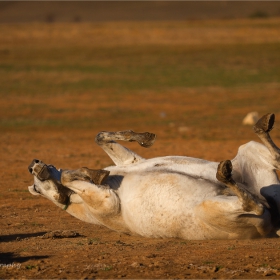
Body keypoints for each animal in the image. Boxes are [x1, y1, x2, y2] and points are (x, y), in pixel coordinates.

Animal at [27, 112, 280, 240]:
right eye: (37, 188)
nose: (34, 165)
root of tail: (273, 225)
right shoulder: (107, 202)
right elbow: (69, 178)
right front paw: (91, 174)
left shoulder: (131, 161)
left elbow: (100, 137)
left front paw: (144, 137)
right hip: (213, 206)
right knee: (254, 204)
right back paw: (225, 173)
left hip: (253, 157)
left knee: (274, 159)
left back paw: (262, 125)